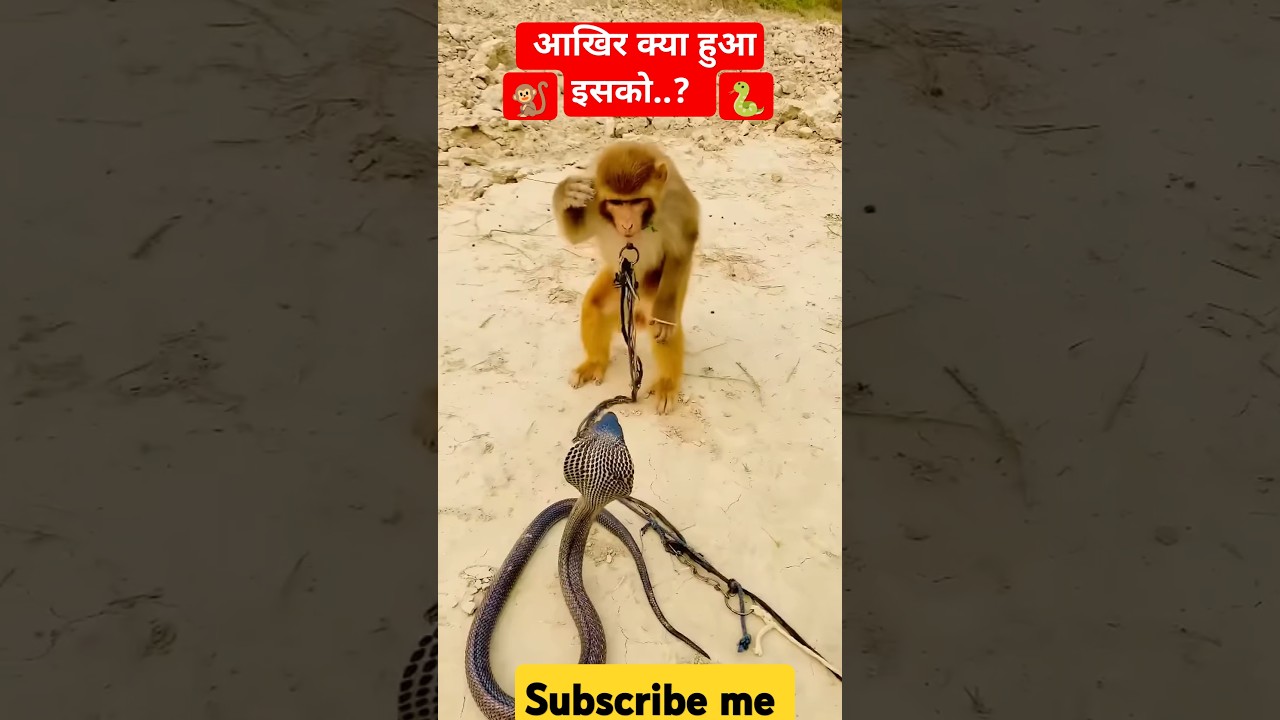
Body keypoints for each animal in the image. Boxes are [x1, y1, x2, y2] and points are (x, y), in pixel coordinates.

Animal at [552, 141, 699, 415]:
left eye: (637, 201)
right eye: (617, 203)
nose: (628, 223)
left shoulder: (675, 202)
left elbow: (683, 243)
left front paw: (664, 315)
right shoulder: (593, 201)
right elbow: (576, 235)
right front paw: (566, 192)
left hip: (661, 284)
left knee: (661, 324)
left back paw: (667, 383)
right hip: (619, 283)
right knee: (596, 305)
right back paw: (594, 362)